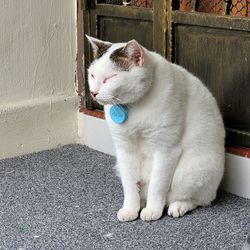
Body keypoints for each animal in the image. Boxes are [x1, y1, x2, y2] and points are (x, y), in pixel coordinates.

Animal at [85, 35, 225, 221]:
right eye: (92, 75)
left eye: (110, 77)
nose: (93, 92)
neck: (134, 108)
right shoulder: (124, 149)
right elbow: (129, 186)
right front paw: (130, 209)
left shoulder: (166, 149)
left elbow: (157, 186)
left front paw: (152, 210)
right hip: (121, 166)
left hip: (189, 173)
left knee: (196, 200)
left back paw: (177, 207)